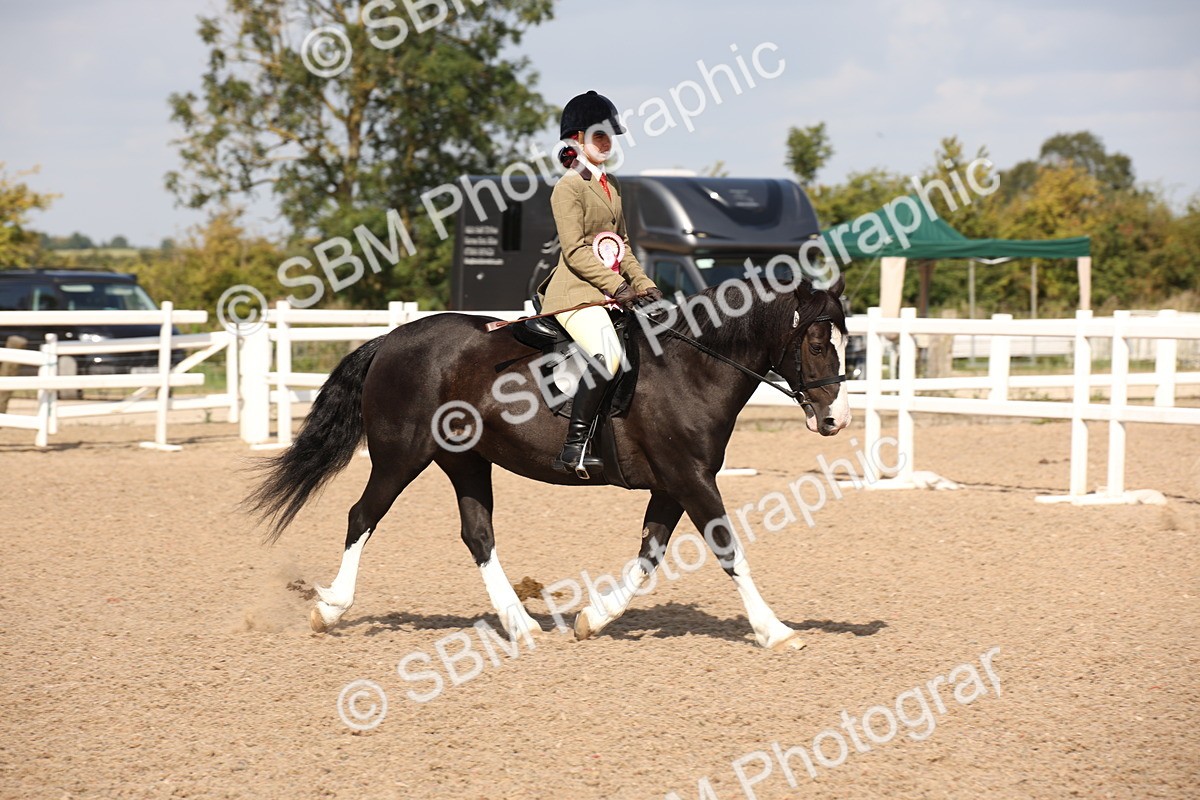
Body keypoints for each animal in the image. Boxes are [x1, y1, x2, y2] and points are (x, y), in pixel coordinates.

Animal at [246, 274, 851, 650]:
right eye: (818, 345)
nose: (835, 420)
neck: (690, 366)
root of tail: (391, 339)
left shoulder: (672, 484)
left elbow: (648, 557)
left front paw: (591, 619)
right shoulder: (690, 478)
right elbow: (729, 550)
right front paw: (775, 631)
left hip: (466, 462)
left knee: (478, 534)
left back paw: (521, 626)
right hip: (401, 456)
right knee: (362, 517)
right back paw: (329, 608)